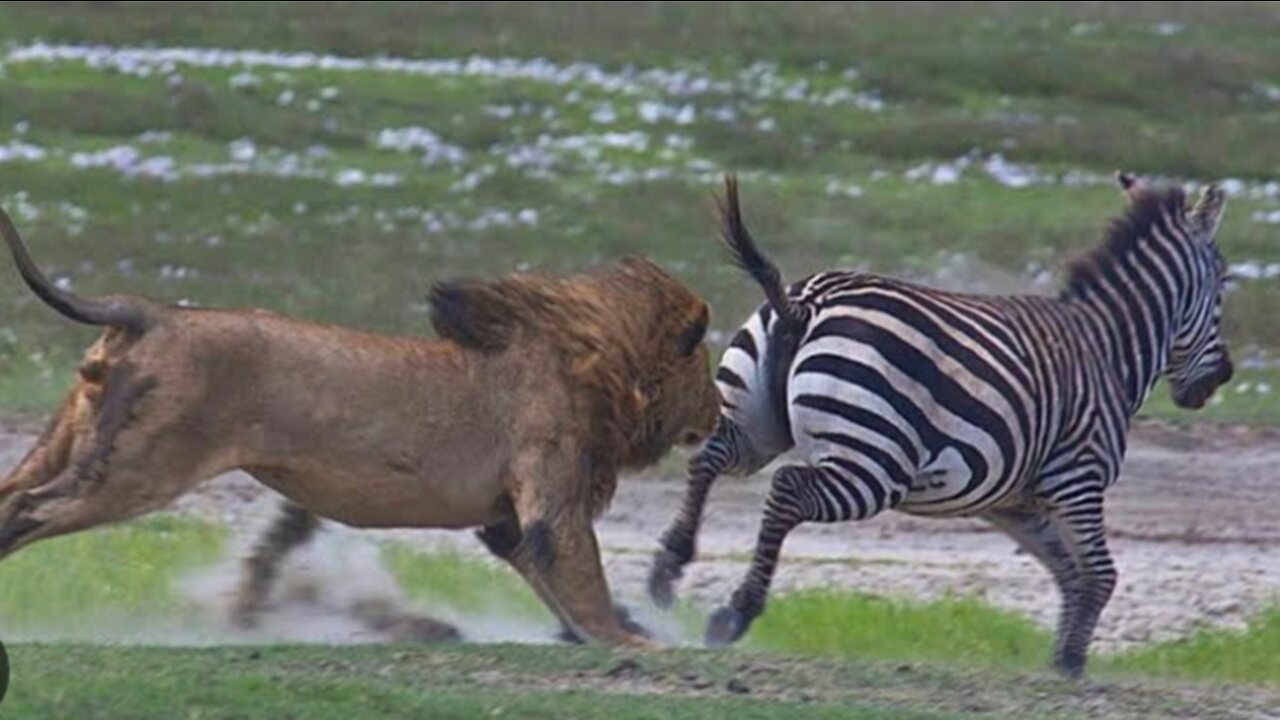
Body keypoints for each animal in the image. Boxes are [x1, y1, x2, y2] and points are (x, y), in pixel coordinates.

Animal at [0, 203, 721, 645]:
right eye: (706, 368)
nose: (719, 411)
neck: (595, 363)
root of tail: (151, 312)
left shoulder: (505, 520)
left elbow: (557, 589)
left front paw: (626, 632)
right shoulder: (552, 501)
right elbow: (582, 578)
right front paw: (634, 643)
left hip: (72, 441)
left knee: (12, 493)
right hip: (139, 466)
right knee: (32, 509)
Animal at [655, 172, 1233, 671]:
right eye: (1225, 284)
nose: (1223, 376)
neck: (1108, 348)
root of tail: (809, 302)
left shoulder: (1016, 503)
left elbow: (1069, 573)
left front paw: (1060, 660)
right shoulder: (1078, 479)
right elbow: (1099, 575)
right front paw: (1071, 663)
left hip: (758, 425)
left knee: (709, 458)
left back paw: (668, 568)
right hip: (876, 465)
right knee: (787, 490)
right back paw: (737, 611)